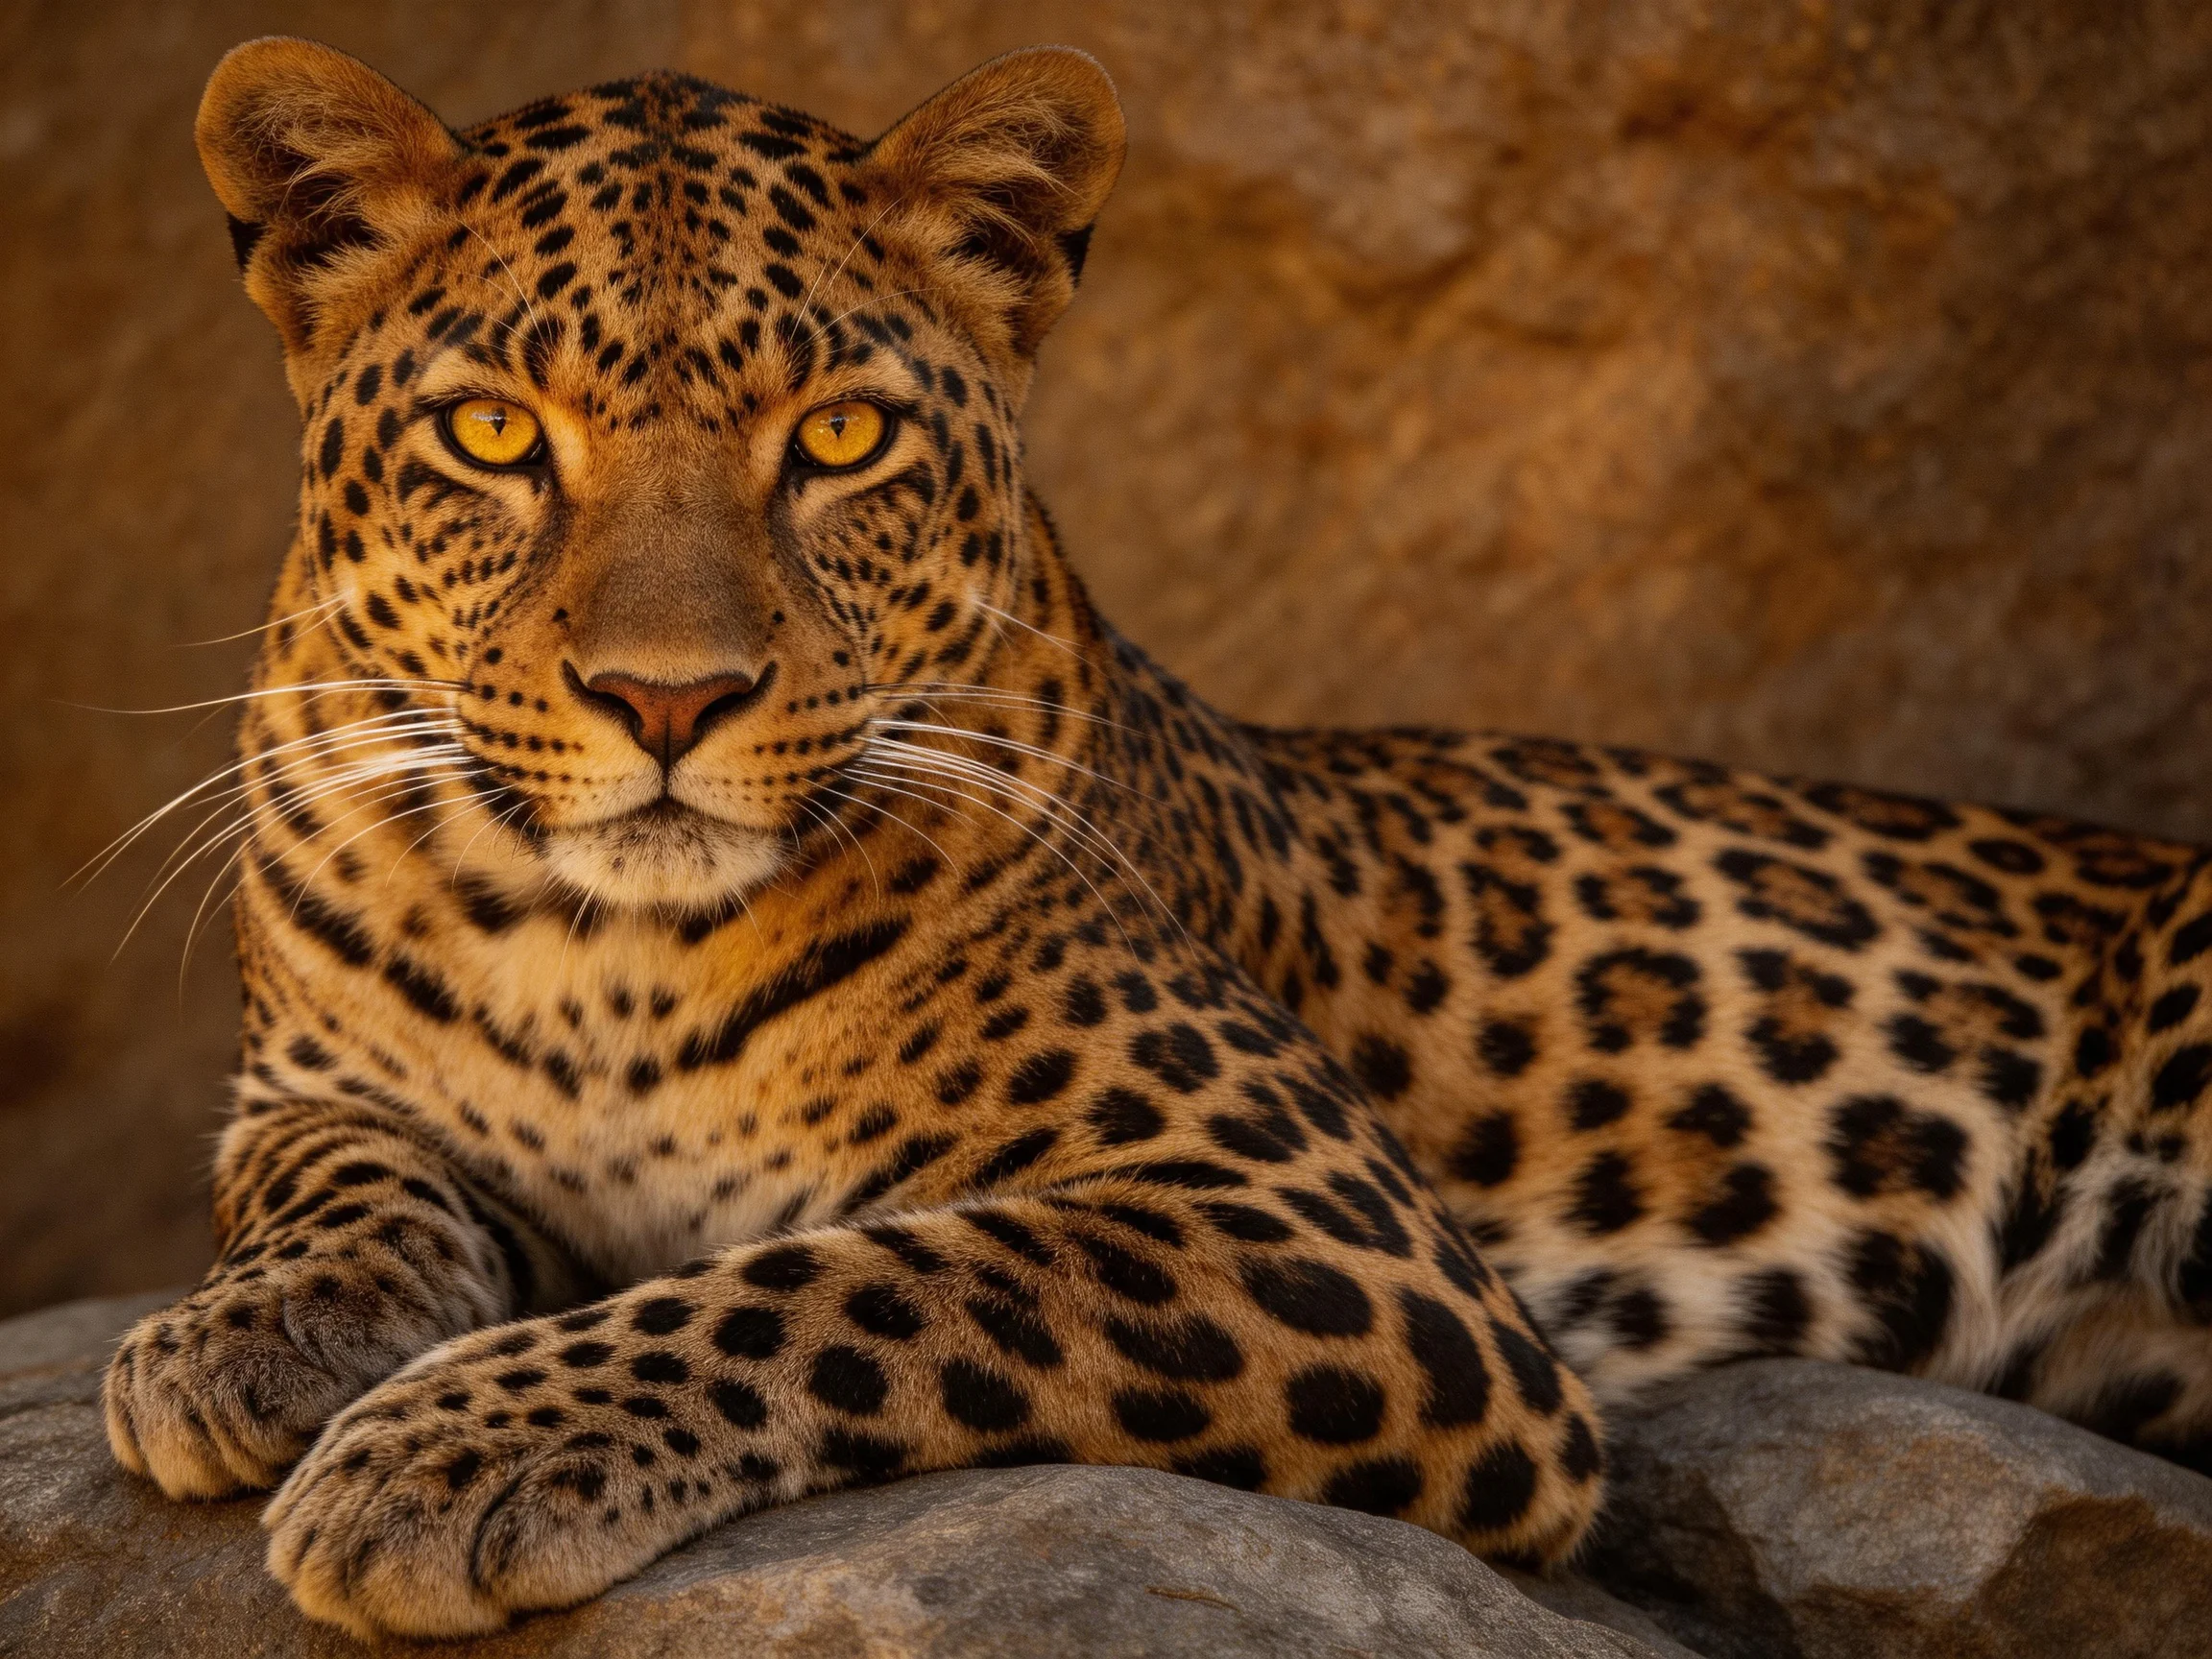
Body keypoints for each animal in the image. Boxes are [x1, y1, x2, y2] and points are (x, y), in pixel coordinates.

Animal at [96, 35, 2212, 1641]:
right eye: (493, 441)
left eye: (841, 442)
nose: (668, 700)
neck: (591, 949)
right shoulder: (307, 1080)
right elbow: (330, 1174)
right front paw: (239, 1340)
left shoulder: (1334, 1233)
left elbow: (869, 1275)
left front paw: (449, 1451)